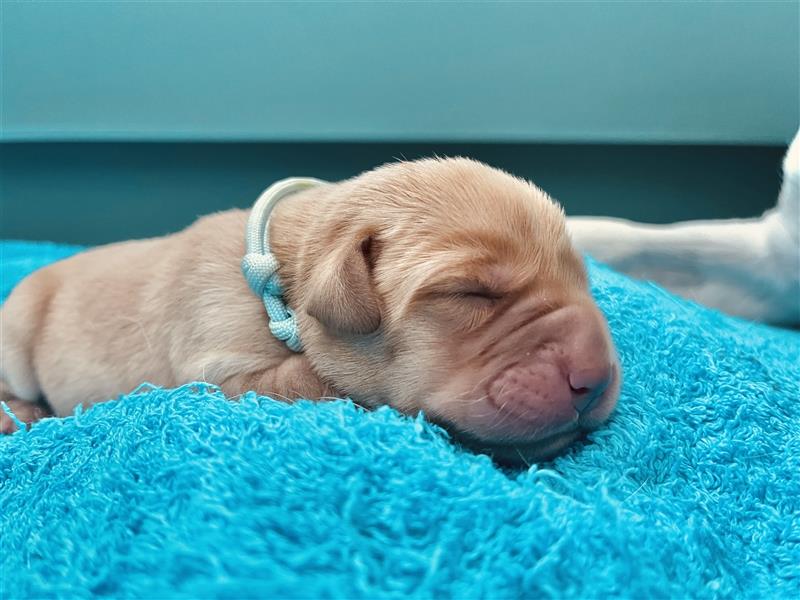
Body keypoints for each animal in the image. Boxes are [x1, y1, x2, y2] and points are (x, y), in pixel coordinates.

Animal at [0, 157, 620, 462]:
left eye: (583, 280)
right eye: (470, 293)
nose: (595, 378)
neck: (282, 275)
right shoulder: (219, 370)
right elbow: (311, 379)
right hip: (19, 325)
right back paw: (19, 414)